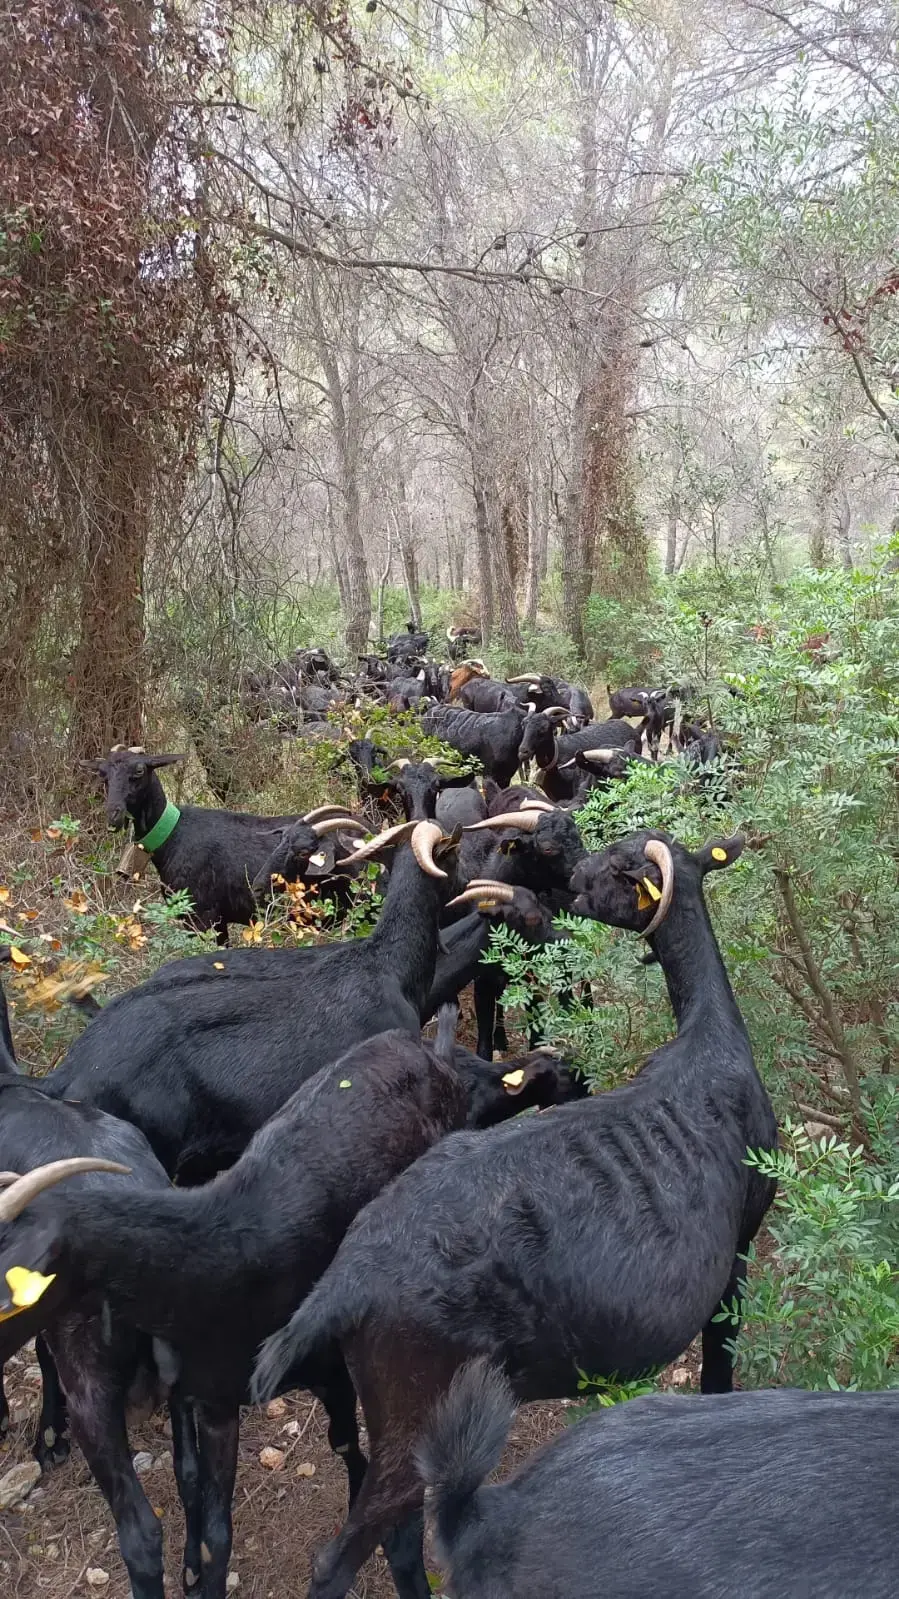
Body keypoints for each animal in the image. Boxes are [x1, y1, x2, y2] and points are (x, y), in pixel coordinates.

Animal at [252, 829, 777, 1599]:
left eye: (621, 867)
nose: (573, 879)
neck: (710, 1040)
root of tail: (342, 1285)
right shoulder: (740, 1243)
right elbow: (718, 1365)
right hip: (419, 1406)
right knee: (345, 1555)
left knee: (398, 1535)